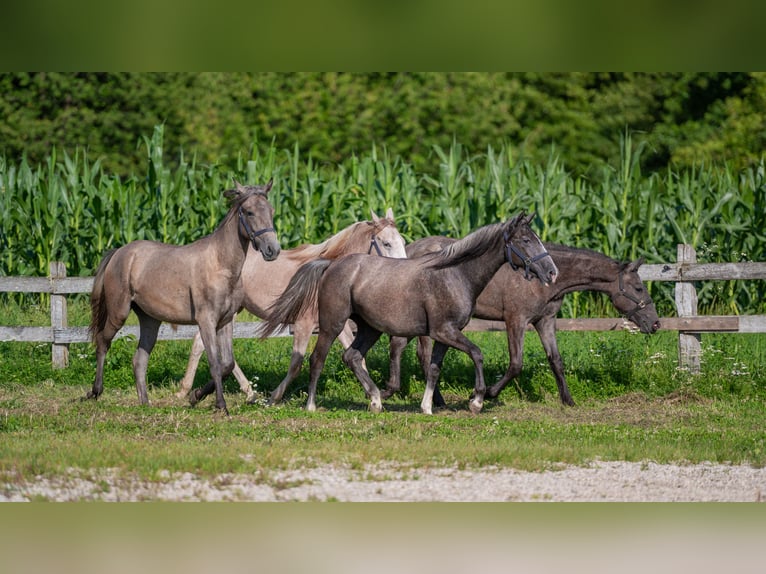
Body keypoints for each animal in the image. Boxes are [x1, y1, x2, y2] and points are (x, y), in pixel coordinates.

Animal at [88, 180, 280, 414]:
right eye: (249, 211)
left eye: (271, 211)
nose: (273, 250)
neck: (221, 265)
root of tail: (119, 252)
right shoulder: (206, 321)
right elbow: (215, 364)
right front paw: (220, 405)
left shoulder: (225, 321)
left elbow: (227, 364)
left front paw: (196, 396)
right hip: (119, 313)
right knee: (102, 342)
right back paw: (95, 392)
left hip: (150, 320)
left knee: (139, 359)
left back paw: (145, 403)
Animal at [179, 209, 408, 408]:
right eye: (386, 243)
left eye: (403, 242)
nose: (403, 273)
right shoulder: (303, 324)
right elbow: (296, 364)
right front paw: (275, 397)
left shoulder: (336, 325)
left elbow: (357, 357)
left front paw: (373, 396)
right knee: (202, 344)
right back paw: (186, 390)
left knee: (204, 344)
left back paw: (244, 392)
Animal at [258, 212, 560, 414]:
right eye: (525, 240)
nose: (551, 272)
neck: (455, 274)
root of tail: (331, 264)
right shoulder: (445, 331)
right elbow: (477, 354)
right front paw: (477, 401)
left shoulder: (444, 334)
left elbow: (434, 368)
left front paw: (427, 407)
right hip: (333, 324)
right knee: (317, 359)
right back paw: (311, 405)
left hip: (370, 328)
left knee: (352, 356)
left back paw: (376, 400)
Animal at [388, 238, 664, 410]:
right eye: (638, 288)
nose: (655, 324)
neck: (549, 278)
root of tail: (410, 249)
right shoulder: (516, 320)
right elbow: (516, 364)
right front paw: (486, 394)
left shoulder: (545, 321)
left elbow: (556, 360)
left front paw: (568, 400)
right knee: (417, 352)